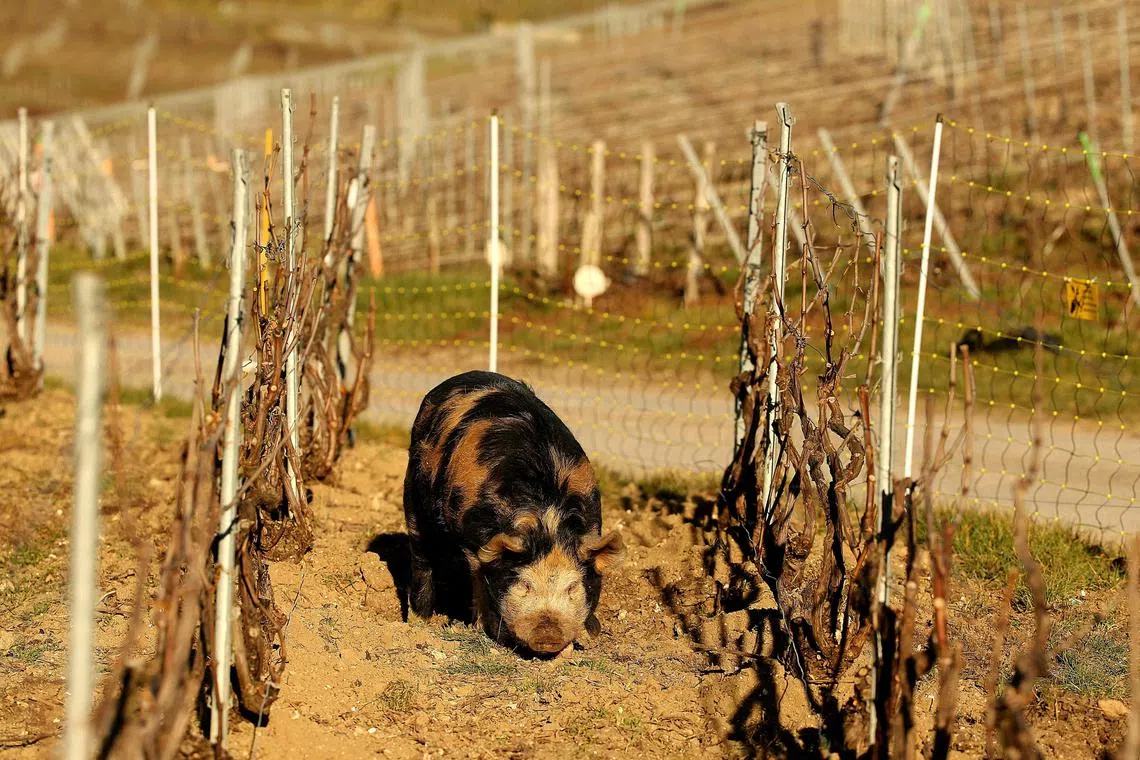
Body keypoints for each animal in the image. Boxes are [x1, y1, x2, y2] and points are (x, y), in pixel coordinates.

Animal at [403, 370, 624, 655]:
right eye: (525, 584)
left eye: (572, 586)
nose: (548, 634)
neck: (547, 519)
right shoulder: (471, 538)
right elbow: (478, 578)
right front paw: (479, 629)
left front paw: (589, 635)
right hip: (413, 490)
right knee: (421, 554)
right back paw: (420, 621)